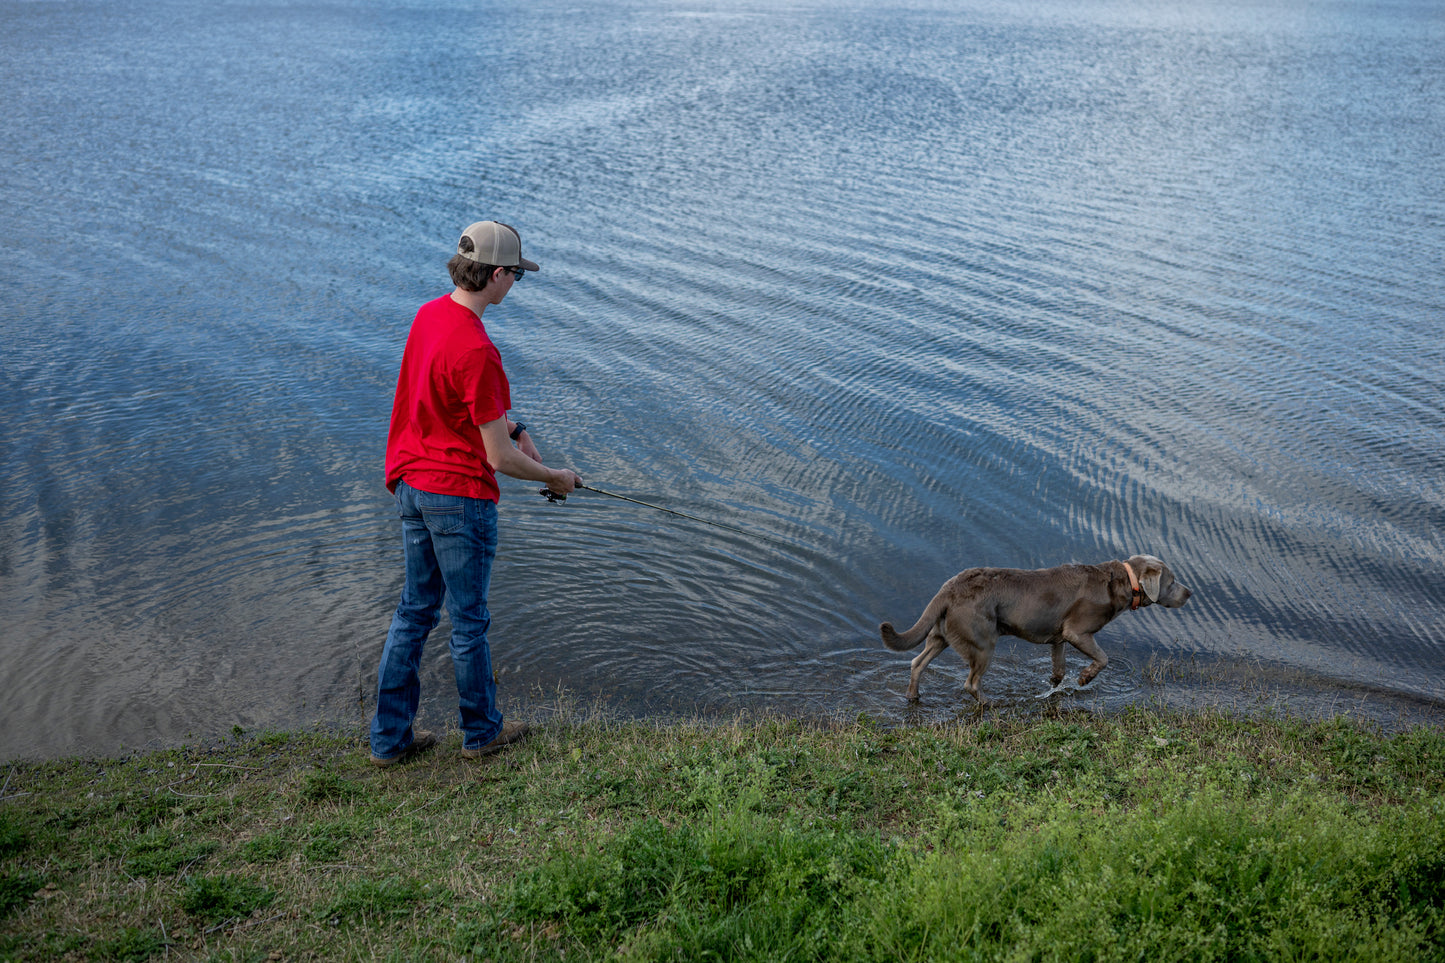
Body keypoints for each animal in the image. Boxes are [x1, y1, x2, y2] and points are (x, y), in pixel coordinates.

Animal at [872, 552, 1190, 702]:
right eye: (1172, 581)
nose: (1189, 593)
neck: (1123, 582)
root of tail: (947, 589)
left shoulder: (1059, 638)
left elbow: (1059, 669)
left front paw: (1054, 685)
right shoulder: (1077, 632)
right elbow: (1103, 658)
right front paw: (1084, 678)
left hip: (941, 634)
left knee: (917, 662)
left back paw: (912, 695)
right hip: (982, 641)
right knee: (971, 682)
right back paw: (989, 703)